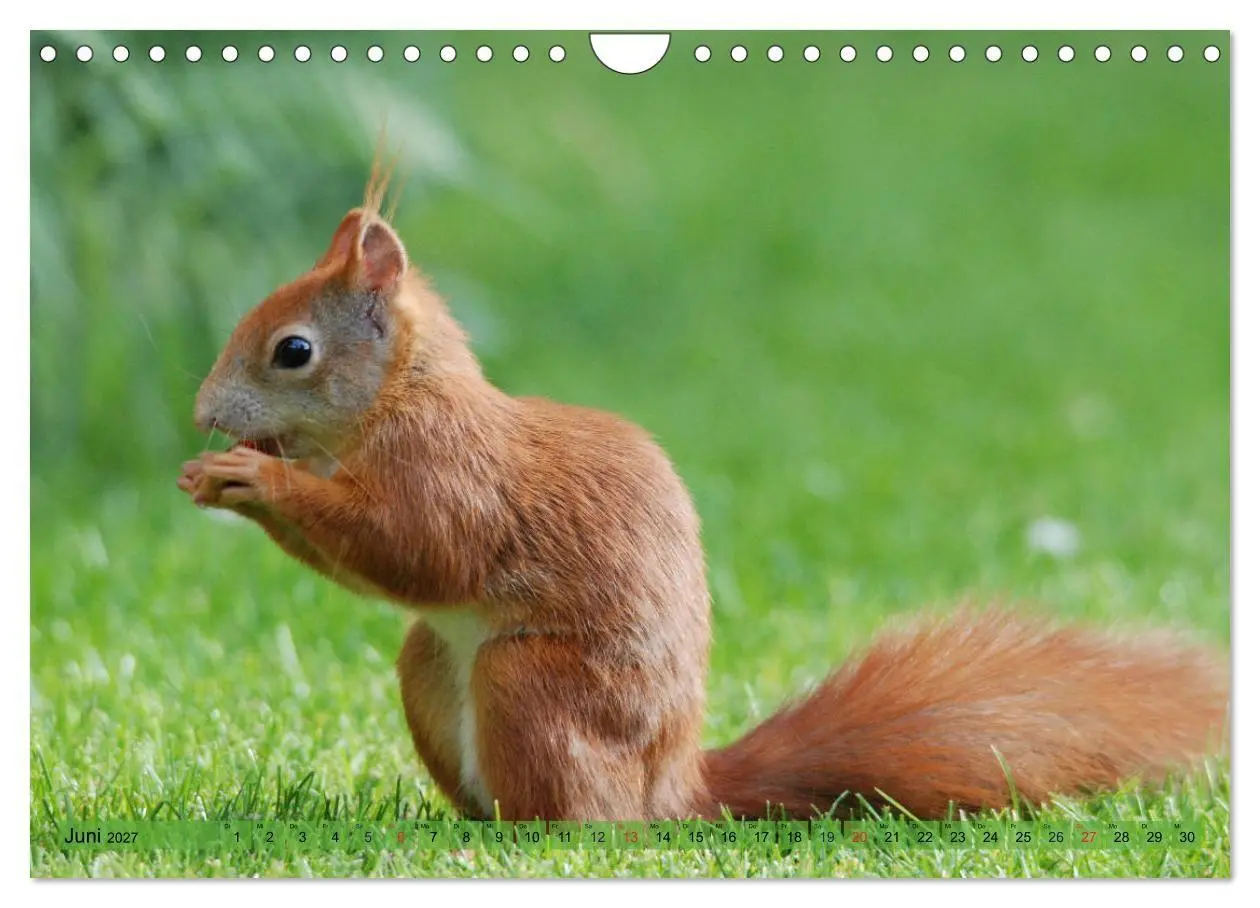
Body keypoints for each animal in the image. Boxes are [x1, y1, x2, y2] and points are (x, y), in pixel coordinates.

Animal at [178, 159, 1228, 822]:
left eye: (293, 351)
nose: (201, 414)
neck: (402, 399)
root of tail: (676, 787)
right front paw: (216, 474)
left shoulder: (449, 473)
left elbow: (413, 547)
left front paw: (250, 474)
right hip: (429, 665)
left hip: (533, 682)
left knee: (588, 819)